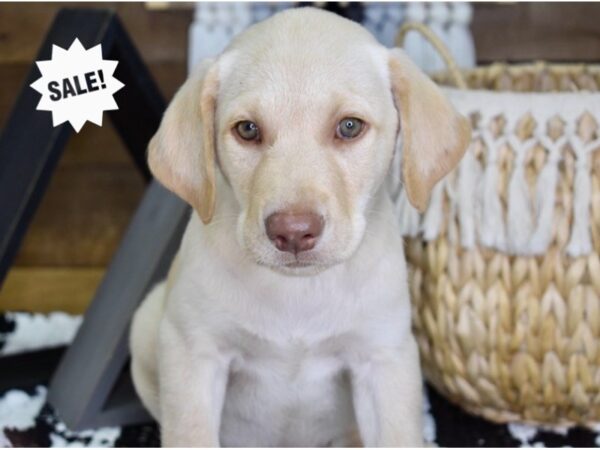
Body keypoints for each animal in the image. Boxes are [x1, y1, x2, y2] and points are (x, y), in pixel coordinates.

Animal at [130, 6, 468, 446]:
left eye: (349, 126)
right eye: (248, 129)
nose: (293, 231)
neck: (298, 293)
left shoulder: (384, 358)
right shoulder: (193, 353)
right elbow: (191, 433)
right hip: (148, 323)